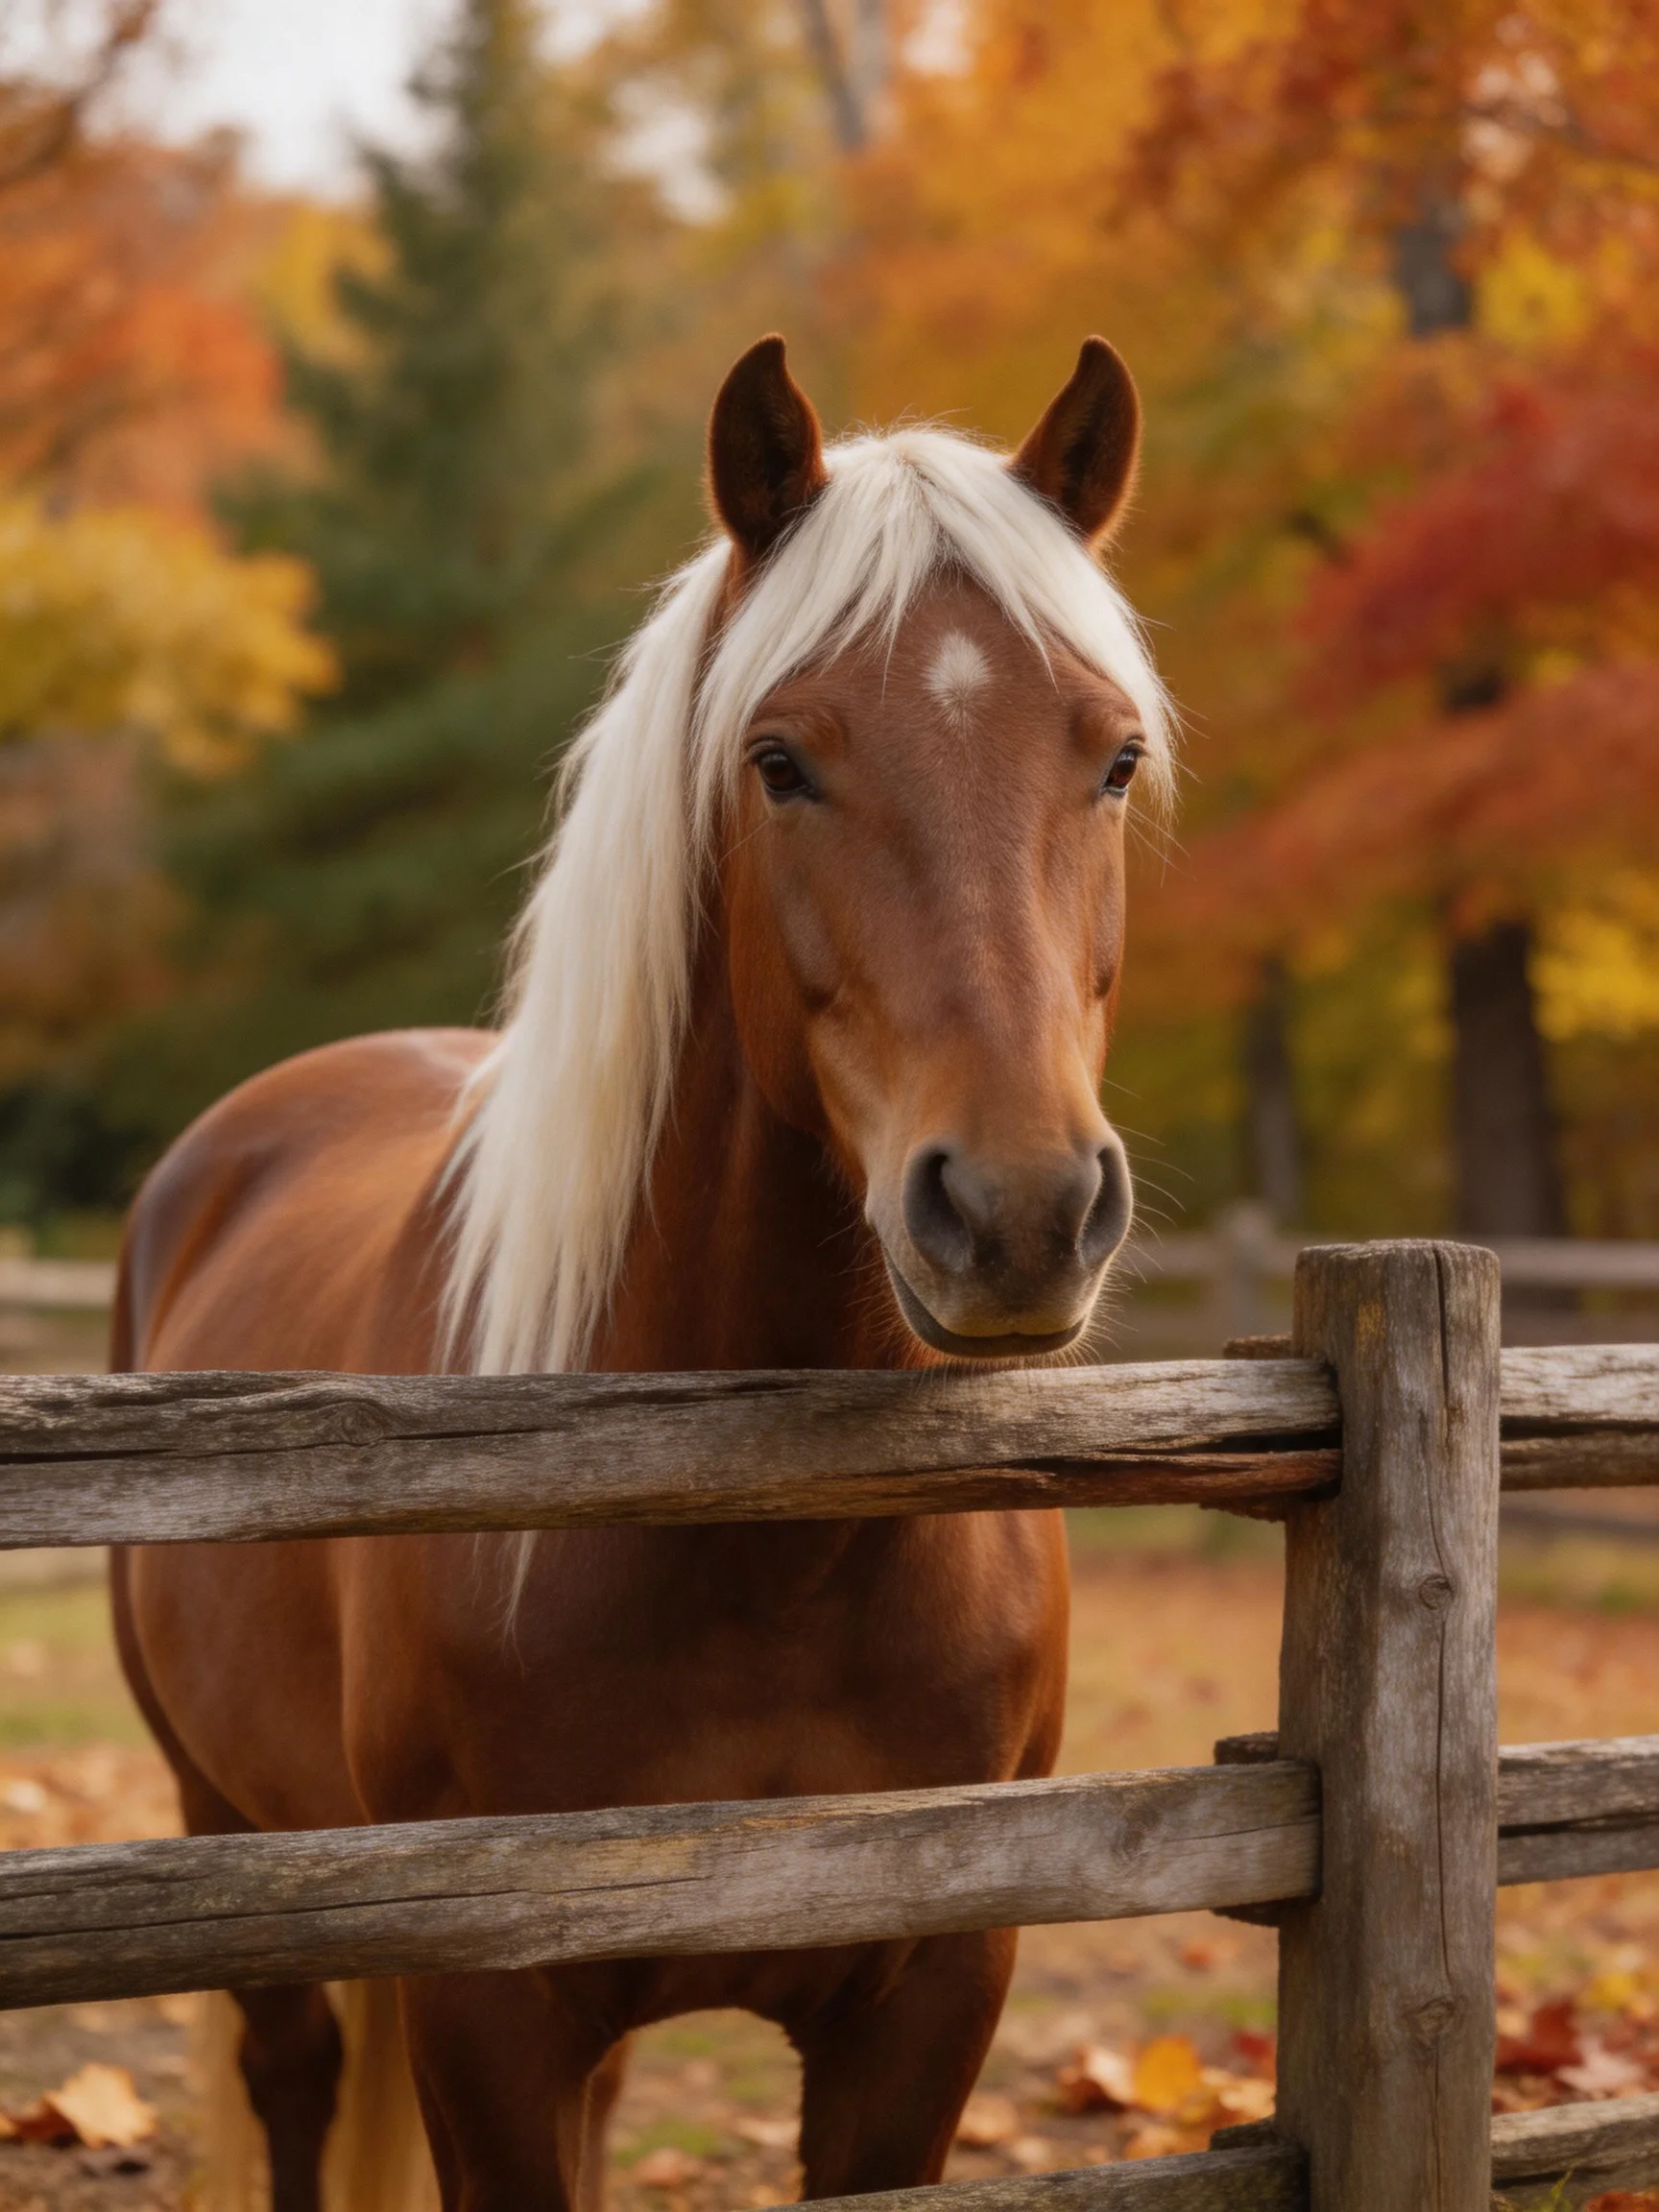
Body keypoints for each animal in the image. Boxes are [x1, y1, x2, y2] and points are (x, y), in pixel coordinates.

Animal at [109, 332, 1174, 2212]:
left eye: (1111, 756)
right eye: (781, 760)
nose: (1023, 1207)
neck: (767, 1540)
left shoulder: (929, 2000)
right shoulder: (485, 2009)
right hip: (230, 1833)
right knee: (293, 2075)